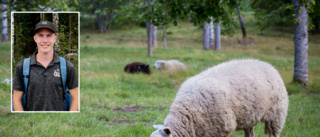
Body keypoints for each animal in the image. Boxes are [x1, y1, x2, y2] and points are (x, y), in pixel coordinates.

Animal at [150, 58, 288, 137]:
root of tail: (266, 64)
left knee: (274, 133)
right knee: (249, 133)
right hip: (249, 115)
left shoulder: (223, 128)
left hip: (277, 113)